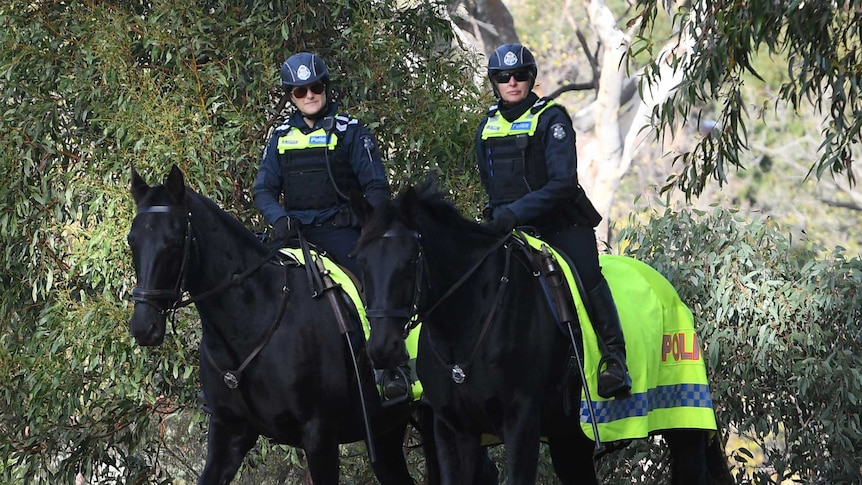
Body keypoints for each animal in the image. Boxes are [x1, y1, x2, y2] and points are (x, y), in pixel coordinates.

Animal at [127, 164, 438, 482]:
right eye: (132, 240)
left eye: (175, 241)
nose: (143, 327)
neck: (251, 323)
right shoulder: (229, 433)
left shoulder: (319, 435)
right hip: (386, 432)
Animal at [352, 179, 736, 484]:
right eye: (362, 261)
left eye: (409, 261)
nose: (382, 349)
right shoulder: (452, 430)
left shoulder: (520, 421)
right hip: (571, 441)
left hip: (683, 425)